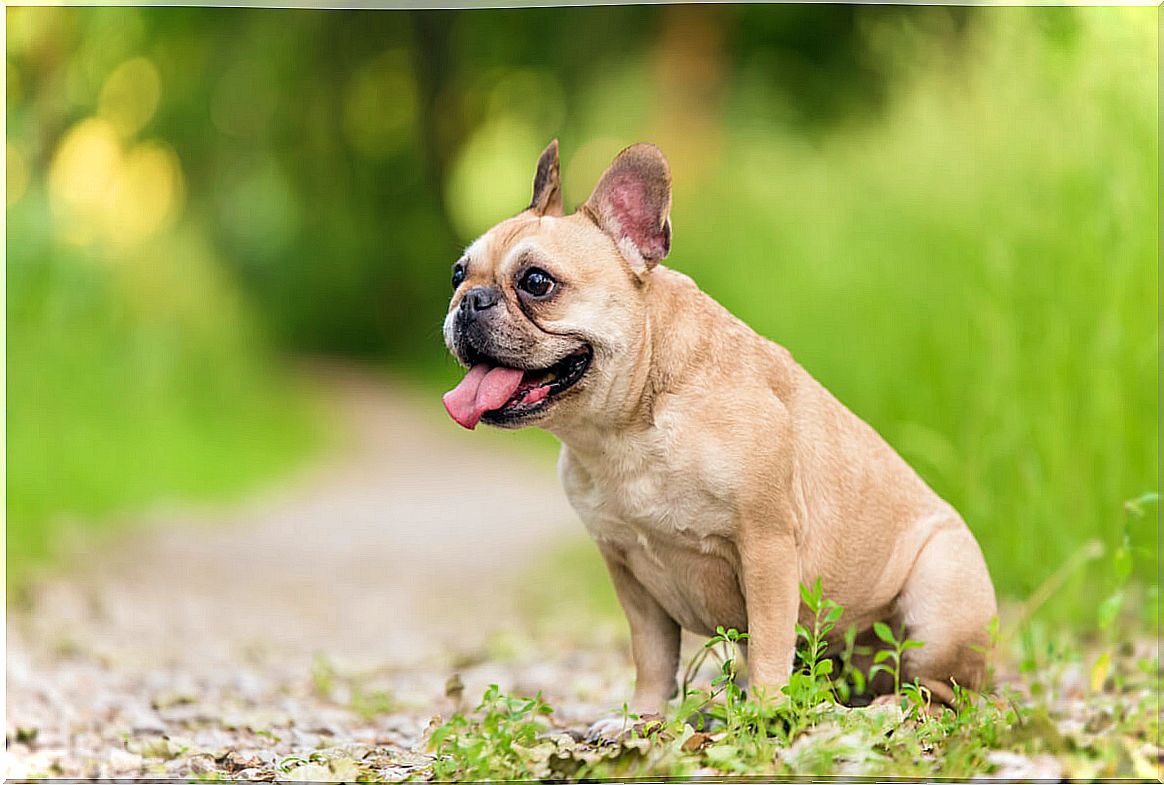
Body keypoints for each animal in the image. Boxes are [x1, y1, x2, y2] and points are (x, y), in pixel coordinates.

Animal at [439, 139, 996, 717]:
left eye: (536, 282)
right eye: (457, 275)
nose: (469, 301)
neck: (625, 429)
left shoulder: (766, 545)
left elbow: (769, 640)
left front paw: (766, 712)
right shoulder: (628, 572)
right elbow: (652, 654)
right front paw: (643, 717)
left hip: (938, 597)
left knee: (944, 689)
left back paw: (891, 706)